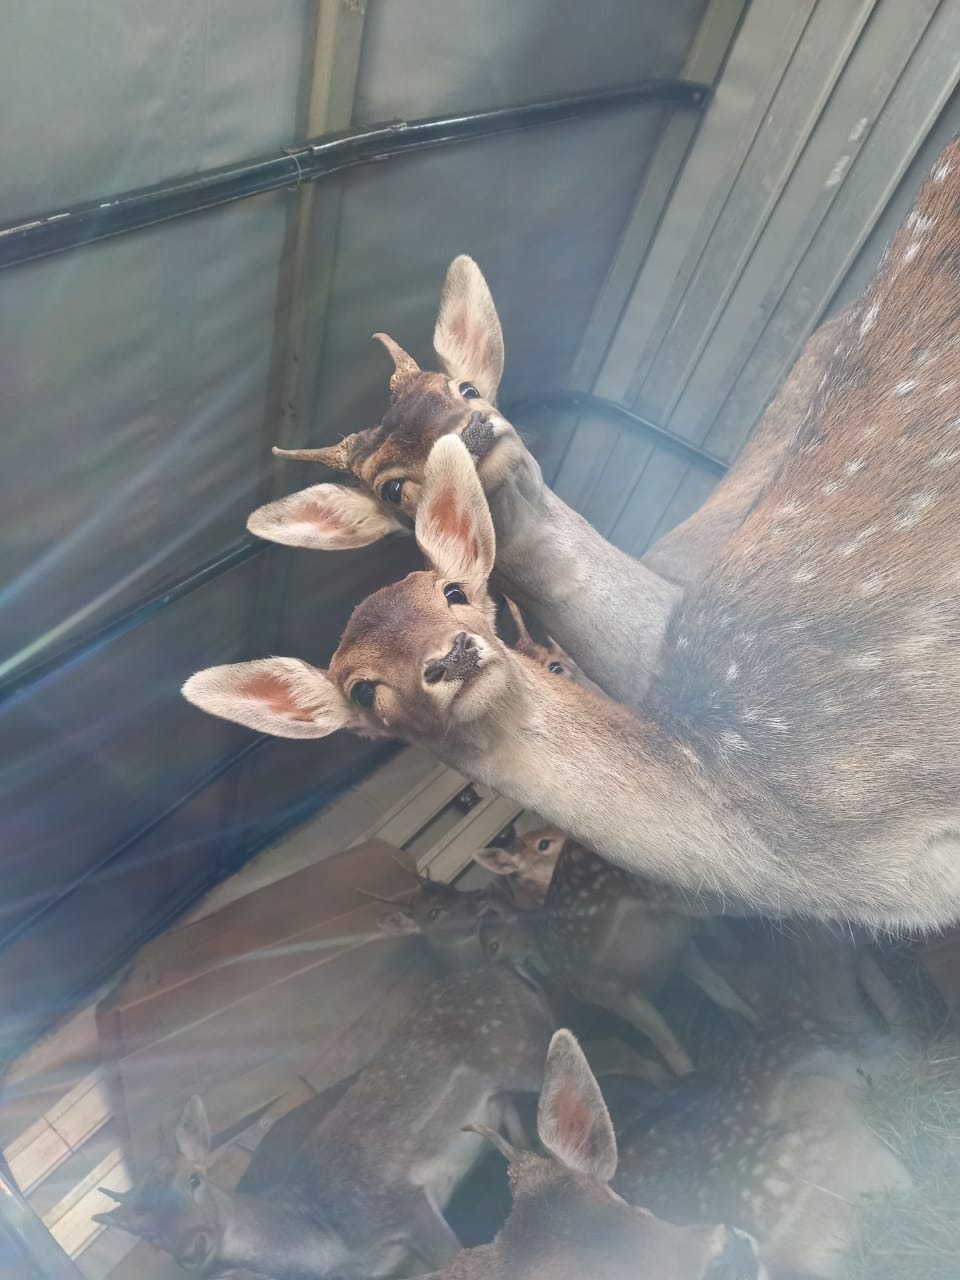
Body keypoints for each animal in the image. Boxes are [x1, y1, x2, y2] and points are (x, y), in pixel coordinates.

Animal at [96, 967, 555, 1280]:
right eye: (145, 1233)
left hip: (526, 1050)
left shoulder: (404, 1203)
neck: (333, 1243)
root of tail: (503, 971)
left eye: (193, 1178)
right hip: (497, 1092)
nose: (193, 1248)